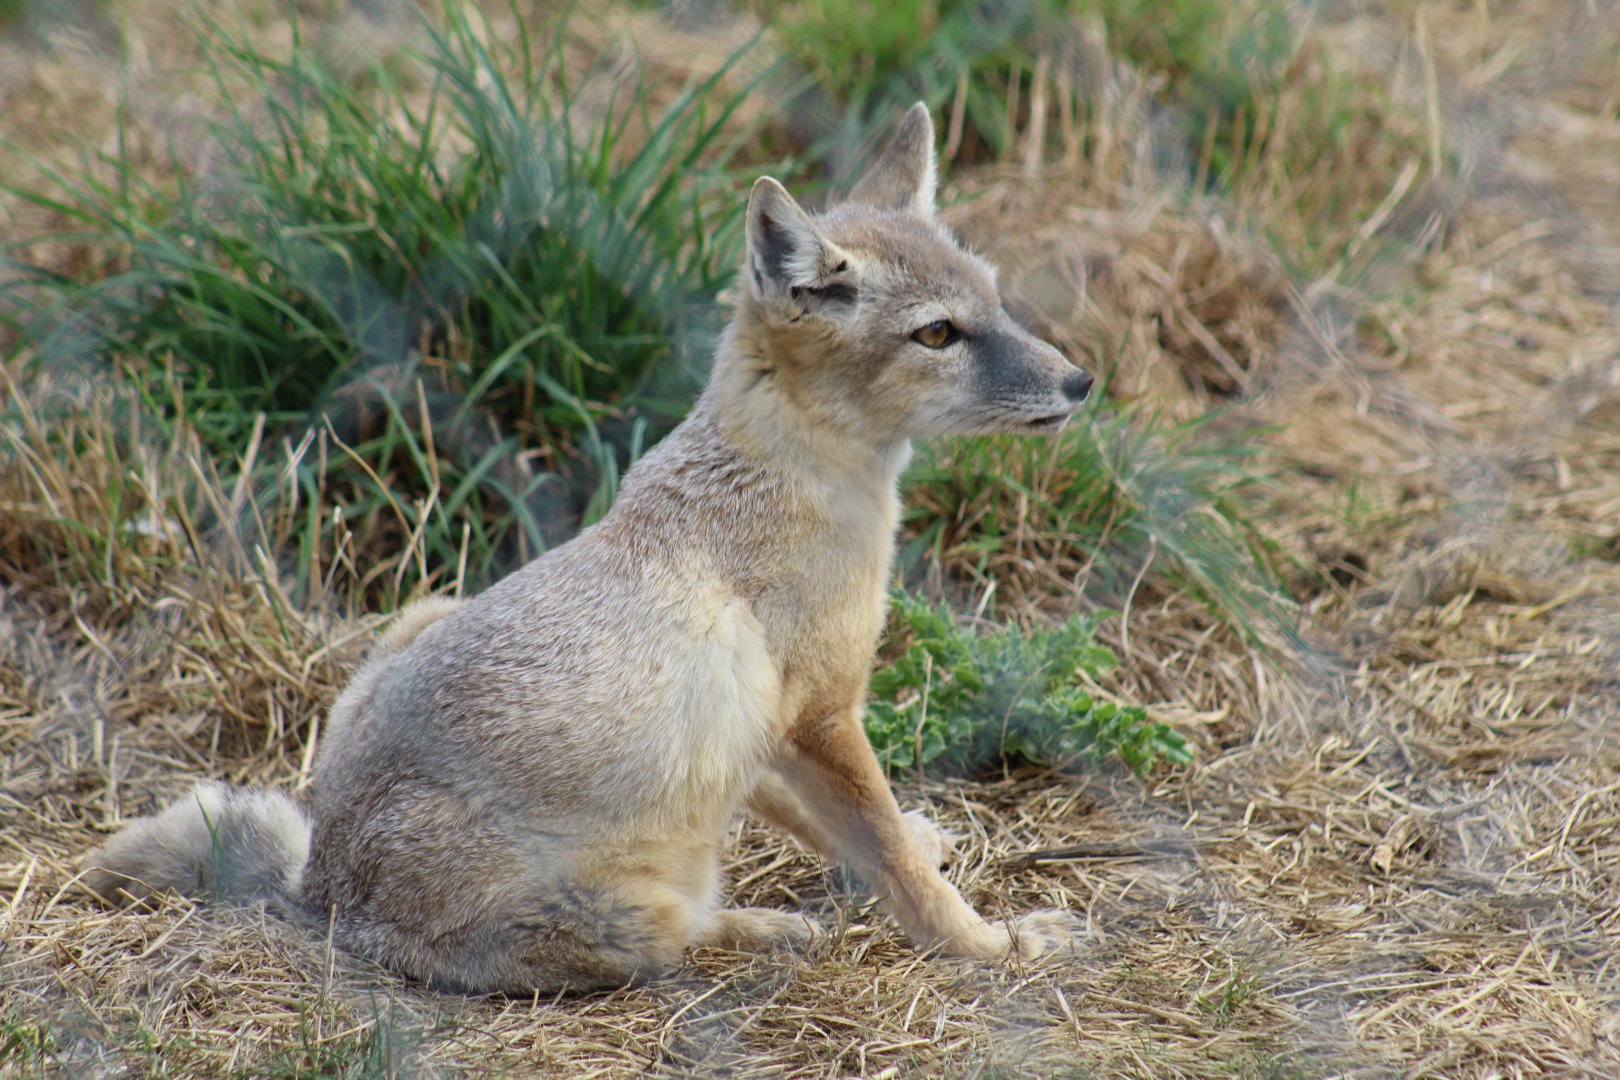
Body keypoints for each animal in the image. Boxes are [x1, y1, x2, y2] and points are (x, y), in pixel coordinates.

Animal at [82, 103, 1096, 994]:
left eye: (995, 302)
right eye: (939, 334)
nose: (1082, 381)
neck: (781, 483)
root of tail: (321, 889)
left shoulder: (765, 733)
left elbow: (848, 830)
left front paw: (920, 845)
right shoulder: (821, 716)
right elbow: (898, 870)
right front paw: (996, 945)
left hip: (426, 612)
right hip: (633, 915)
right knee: (685, 932)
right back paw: (766, 928)